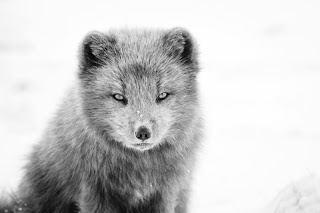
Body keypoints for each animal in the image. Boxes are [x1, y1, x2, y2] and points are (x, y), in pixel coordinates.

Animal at [0, 28, 202, 213]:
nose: (143, 132)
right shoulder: (93, 192)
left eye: (162, 95)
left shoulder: (165, 193)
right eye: (119, 96)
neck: (139, 172)